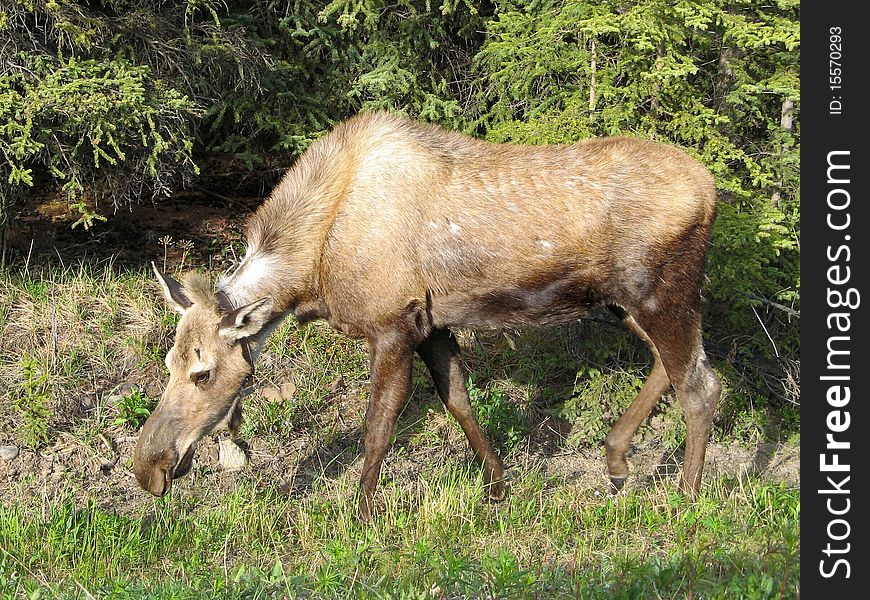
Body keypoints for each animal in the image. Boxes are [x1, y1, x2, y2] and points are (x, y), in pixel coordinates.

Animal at [133, 113, 724, 520]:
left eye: (202, 372)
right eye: (167, 363)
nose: (148, 467)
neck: (311, 271)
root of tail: (714, 189)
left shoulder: (393, 325)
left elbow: (379, 426)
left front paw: (362, 513)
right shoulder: (433, 324)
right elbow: (459, 400)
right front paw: (497, 488)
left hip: (660, 292)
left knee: (700, 384)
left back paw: (687, 497)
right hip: (626, 303)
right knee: (675, 368)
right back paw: (617, 460)